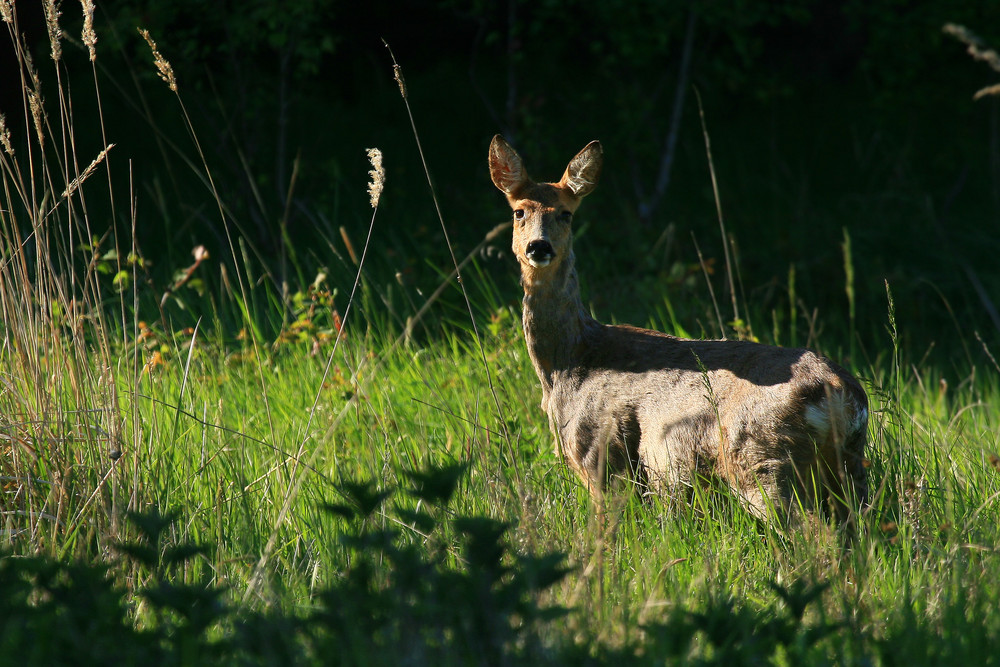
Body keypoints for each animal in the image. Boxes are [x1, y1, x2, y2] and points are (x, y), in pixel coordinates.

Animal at [486, 133, 868, 524]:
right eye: (519, 212)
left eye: (566, 214)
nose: (539, 247)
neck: (570, 362)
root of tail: (839, 393)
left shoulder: (600, 455)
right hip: (847, 468)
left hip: (761, 459)